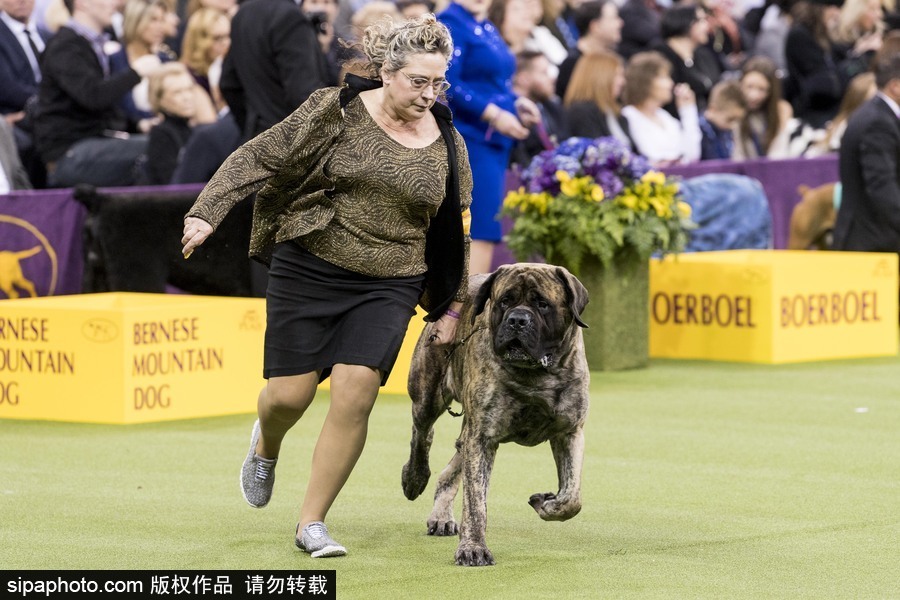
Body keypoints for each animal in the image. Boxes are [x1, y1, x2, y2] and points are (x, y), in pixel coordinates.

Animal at [402, 262, 592, 568]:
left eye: (542, 304)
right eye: (505, 301)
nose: (517, 320)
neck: (535, 376)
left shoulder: (570, 431)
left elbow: (572, 497)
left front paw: (546, 501)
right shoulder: (482, 437)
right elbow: (476, 502)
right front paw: (473, 549)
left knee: (451, 465)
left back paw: (441, 516)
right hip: (428, 395)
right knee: (422, 435)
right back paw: (414, 478)